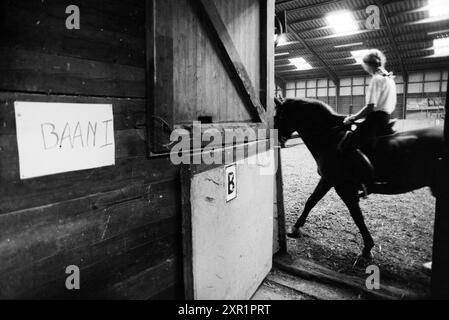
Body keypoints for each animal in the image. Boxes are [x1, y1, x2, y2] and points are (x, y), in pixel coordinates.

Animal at [272, 98, 444, 260]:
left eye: (278, 116)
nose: (275, 140)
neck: (330, 138)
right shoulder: (328, 180)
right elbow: (311, 201)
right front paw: (296, 228)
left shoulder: (343, 187)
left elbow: (357, 216)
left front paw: (368, 247)